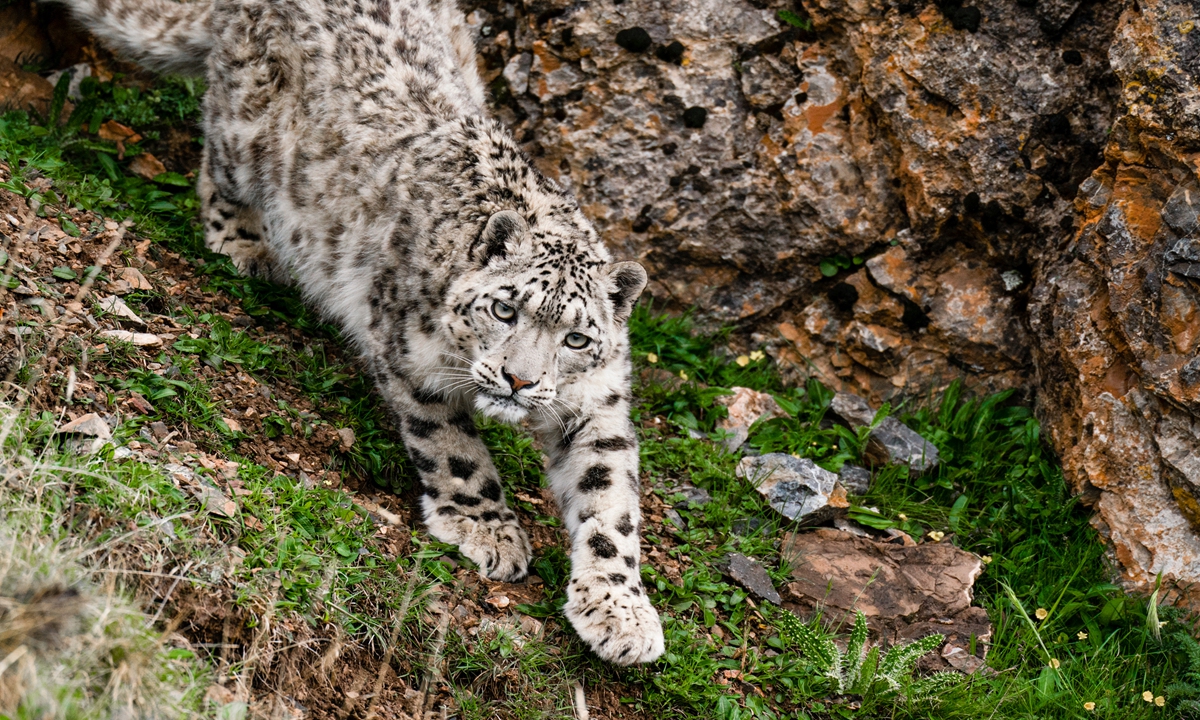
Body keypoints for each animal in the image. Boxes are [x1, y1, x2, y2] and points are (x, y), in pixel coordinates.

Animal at [56, 0, 664, 664]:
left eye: (577, 339)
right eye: (505, 310)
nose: (519, 381)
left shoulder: (598, 405)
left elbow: (610, 499)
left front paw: (622, 612)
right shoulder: (411, 358)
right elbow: (452, 449)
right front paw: (487, 530)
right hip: (244, 132)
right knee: (217, 167)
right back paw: (245, 247)